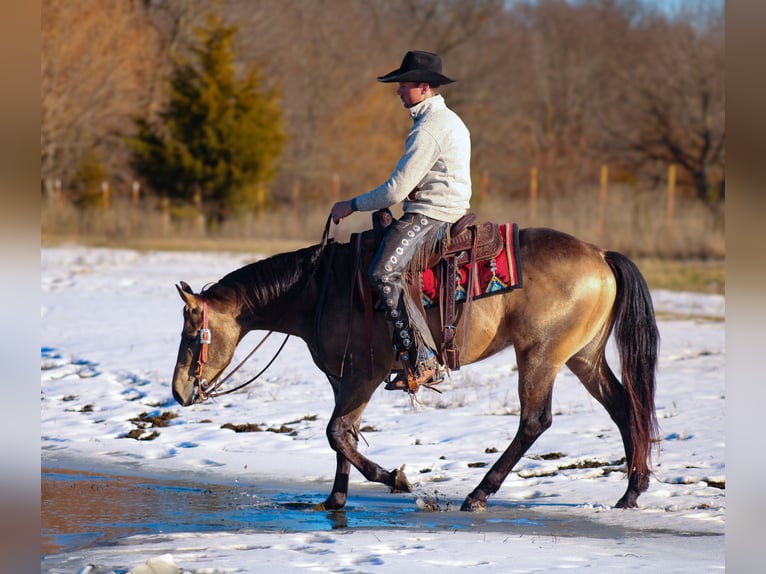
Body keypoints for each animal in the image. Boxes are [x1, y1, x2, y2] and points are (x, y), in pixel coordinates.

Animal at [172, 217, 660, 512]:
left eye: (193, 334)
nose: (178, 391)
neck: (319, 289)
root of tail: (601, 256)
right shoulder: (344, 379)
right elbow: (344, 435)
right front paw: (335, 501)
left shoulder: (363, 376)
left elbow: (336, 432)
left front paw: (395, 479)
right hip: (583, 356)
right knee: (624, 407)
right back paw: (631, 492)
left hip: (540, 355)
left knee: (535, 420)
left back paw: (479, 494)